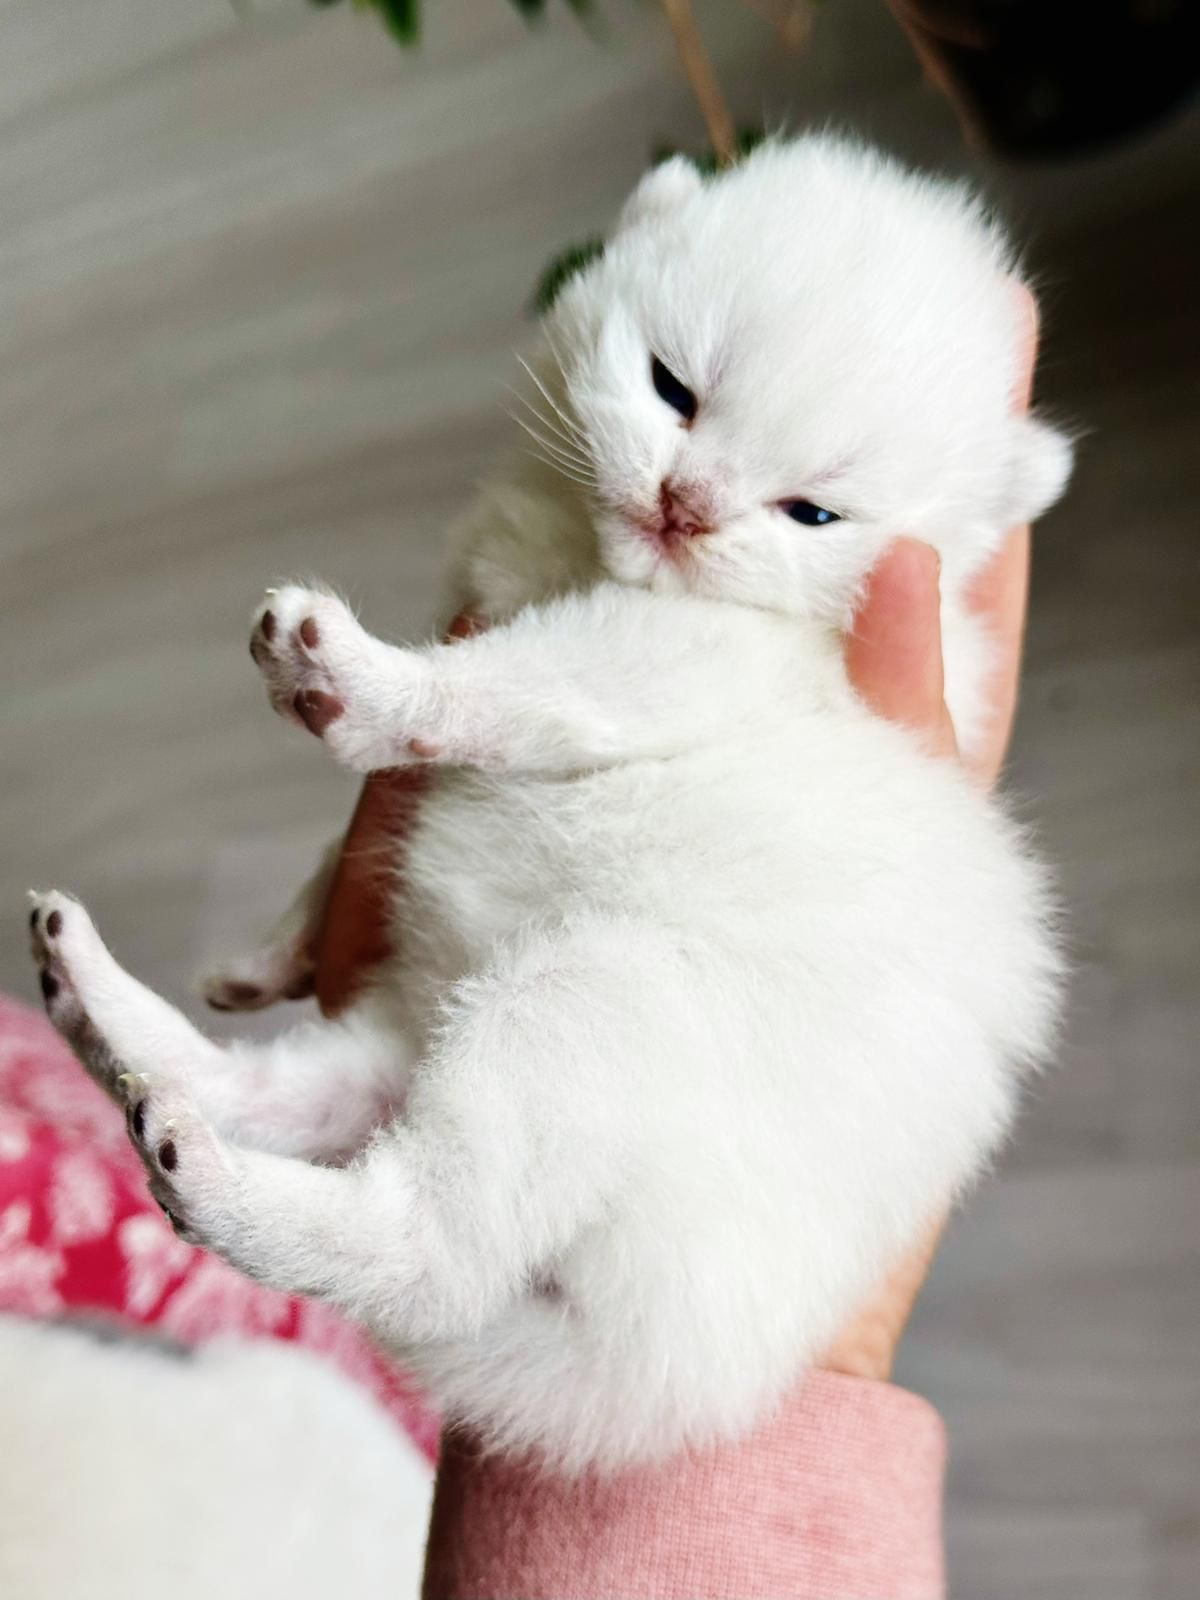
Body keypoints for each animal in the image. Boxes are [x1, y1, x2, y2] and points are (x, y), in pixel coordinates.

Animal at [29, 135, 1070, 1472]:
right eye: (673, 387)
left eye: (813, 512)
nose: (688, 505)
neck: (578, 547)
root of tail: (669, 1379)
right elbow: (343, 841)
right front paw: (275, 946)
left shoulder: (692, 653)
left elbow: (514, 686)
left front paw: (359, 684)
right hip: (434, 1031)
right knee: (287, 1094)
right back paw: (100, 1005)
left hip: (579, 1010)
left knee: (431, 1251)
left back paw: (209, 1178)